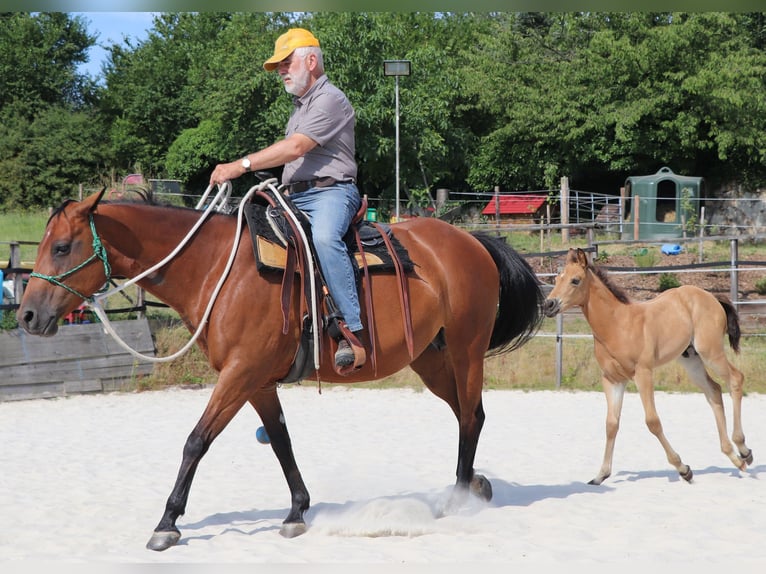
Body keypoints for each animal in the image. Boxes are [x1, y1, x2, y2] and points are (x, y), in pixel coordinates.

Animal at [18, 188, 544, 552]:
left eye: (62, 247)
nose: (26, 316)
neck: (216, 268)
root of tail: (470, 241)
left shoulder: (239, 373)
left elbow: (196, 441)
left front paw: (167, 524)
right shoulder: (256, 381)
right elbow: (280, 441)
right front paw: (296, 511)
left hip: (466, 349)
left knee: (471, 416)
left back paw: (458, 498)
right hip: (430, 359)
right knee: (467, 414)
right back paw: (473, 484)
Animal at [544, 250, 756, 488]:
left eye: (575, 280)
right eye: (557, 278)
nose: (548, 304)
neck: (618, 325)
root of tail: (711, 297)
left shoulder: (643, 373)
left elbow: (652, 421)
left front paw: (683, 469)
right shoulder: (612, 379)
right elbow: (611, 424)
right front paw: (601, 475)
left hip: (711, 352)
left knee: (735, 379)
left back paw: (744, 450)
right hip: (691, 360)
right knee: (714, 391)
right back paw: (734, 456)